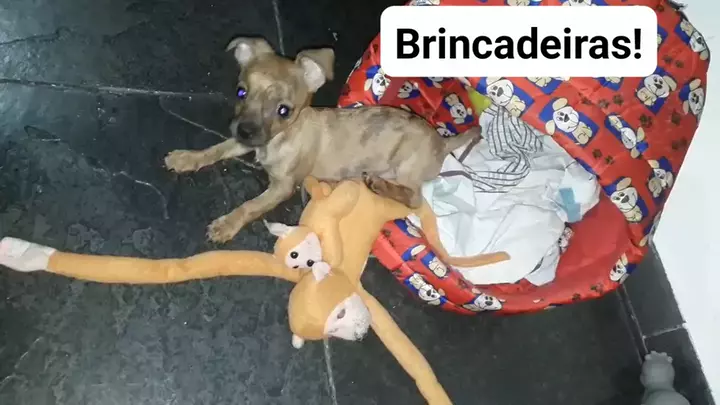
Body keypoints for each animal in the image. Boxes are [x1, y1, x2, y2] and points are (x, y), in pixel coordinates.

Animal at [164, 37, 476, 243]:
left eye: (284, 111)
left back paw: (380, 184)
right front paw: (186, 158)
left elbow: (250, 206)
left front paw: (226, 224)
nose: (245, 131)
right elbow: (215, 150)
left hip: (406, 168)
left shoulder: (282, 187)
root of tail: (442, 143)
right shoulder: (246, 140)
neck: (278, 141)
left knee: (414, 198)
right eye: (241, 92)